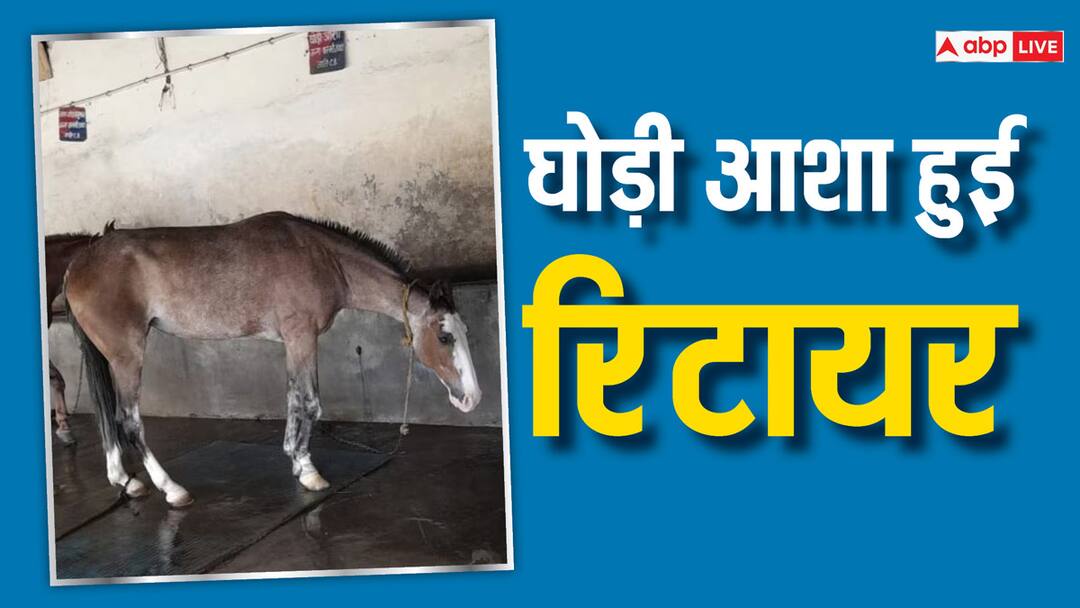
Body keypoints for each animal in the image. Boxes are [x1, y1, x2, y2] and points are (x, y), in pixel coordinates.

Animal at [64, 211, 481, 507]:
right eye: (444, 337)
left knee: (108, 418)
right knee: (128, 421)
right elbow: (309, 403)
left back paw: (126, 480)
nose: (472, 398)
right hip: (127, 355)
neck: (322, 258)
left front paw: (295, 461)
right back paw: (172, 489)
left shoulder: (294, 343)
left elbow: (293, 399)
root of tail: (78, 263)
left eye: (465, 332)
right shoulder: (302, 338)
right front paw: (309, 471)